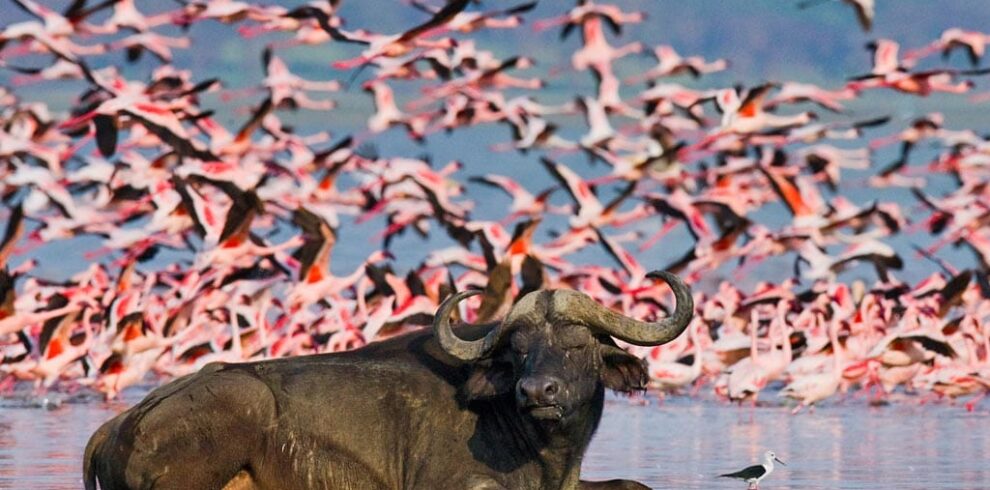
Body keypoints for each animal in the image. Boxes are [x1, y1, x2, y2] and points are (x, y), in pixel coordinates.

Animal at [84, 270, 693, 489]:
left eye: (578, 345)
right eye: (518, 351)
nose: (538, 392)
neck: (546, 454)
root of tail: (117, 427)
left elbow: (634, 485)